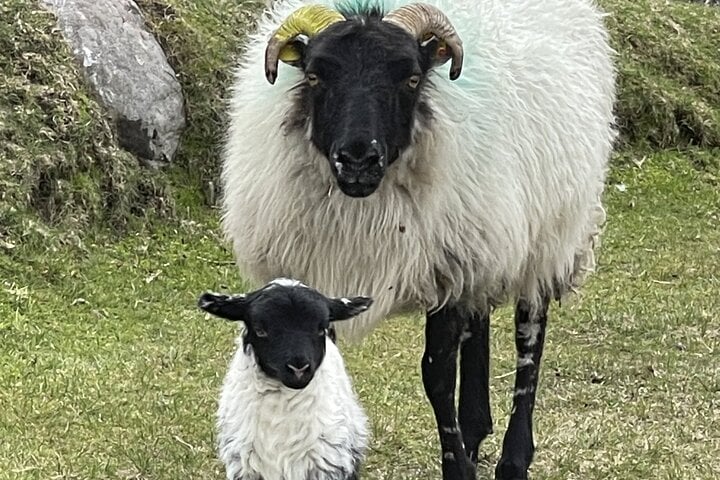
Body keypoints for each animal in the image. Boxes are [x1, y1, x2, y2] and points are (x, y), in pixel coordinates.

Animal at [220, 1, 616, 478]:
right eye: (315, 76)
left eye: (411, 77)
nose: (358, 159)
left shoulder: (445, 268)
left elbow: (437, 375)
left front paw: (457, 467)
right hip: (484, 237)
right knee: (480, 319)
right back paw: (476, 428)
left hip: (548, 232)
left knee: (529, 336)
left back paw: (513, 456)